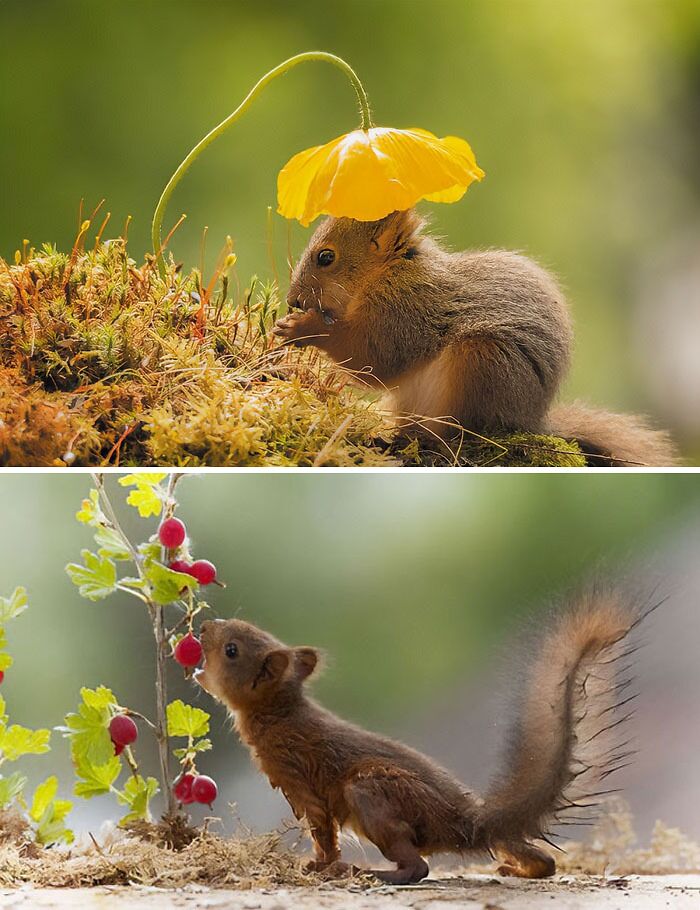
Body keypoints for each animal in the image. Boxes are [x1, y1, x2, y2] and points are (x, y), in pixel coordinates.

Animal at [194, 592, 652, 884]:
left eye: (232, 649)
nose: (204, 625)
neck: (280, 713)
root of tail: (466, 823)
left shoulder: (301, 781)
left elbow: (324, 834)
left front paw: (320, 867)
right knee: (542, 860)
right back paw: (520, 868)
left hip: (370, 791)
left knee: (419, 868)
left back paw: (371, 873)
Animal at [274, 212, 680, 470]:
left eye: (326, 257)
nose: (293, 300)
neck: (388, 272)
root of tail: (531, 420)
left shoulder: (410, 309)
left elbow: (378, 357)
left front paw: (305, 327)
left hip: (483, 362)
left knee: (462, 431)